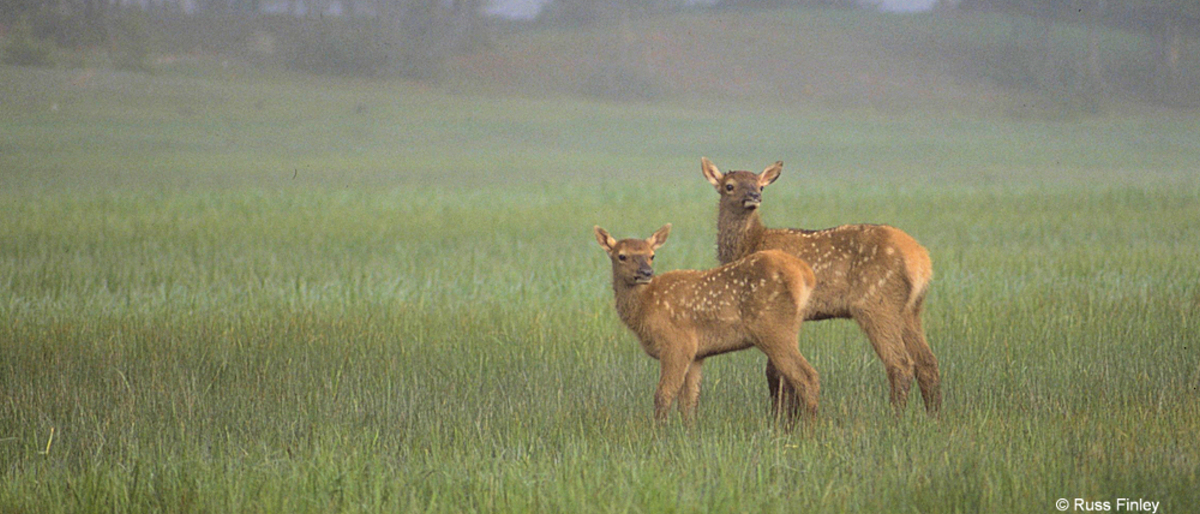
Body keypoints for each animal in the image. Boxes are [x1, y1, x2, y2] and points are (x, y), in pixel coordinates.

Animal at [593, 223, 819, 424]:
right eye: (621, 256)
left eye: (652, 255)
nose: (646, 273)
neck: (646, 307)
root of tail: (806, 274)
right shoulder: (696, 354)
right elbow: (689, 402)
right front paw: (687, 434)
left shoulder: (677, 344)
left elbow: (663, 395)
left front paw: (659, 434)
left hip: (773, 328)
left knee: (807, 376)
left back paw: (808, 431)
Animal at [700, 157, 941, 416]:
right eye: (730, 186)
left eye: (760, 185)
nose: (754, 196)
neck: (750, 245)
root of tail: (921, 259)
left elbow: (775, 375)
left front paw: (780, 418)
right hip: (912, 309)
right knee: (928, 362)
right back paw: (934, 416)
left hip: (876, 303)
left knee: (900, 363)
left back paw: (895, 417)